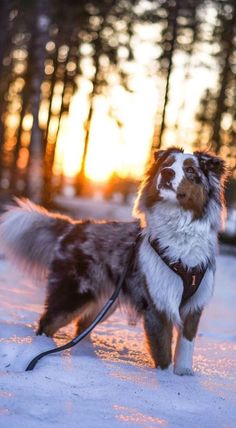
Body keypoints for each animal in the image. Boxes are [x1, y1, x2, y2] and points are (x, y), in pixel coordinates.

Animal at [0, 147, 227, 374]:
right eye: (166, 165)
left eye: (190, 170)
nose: (167, 173)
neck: (180, 229)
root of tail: (73, 227)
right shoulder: (158, 304)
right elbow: (163, 353)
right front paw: (164, 378)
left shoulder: (194, 307)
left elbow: (186, 346)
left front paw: (183, 375)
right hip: (74, 294)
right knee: (47, 323)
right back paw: (40, 349)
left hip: (105, 301)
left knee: (82, 326)